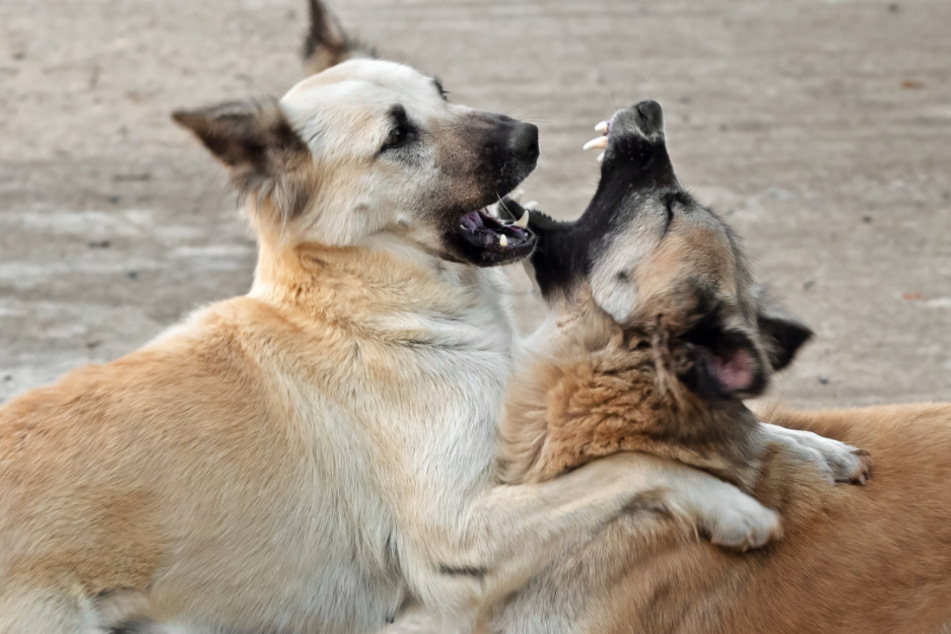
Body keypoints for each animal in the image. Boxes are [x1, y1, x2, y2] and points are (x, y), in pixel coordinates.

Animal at [0, 8, 796, 632]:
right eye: (397, 137)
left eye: (438, 92)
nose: (530, 134)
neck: (369, 308)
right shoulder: (461, 534)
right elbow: (632, 463)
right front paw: (732, 508)